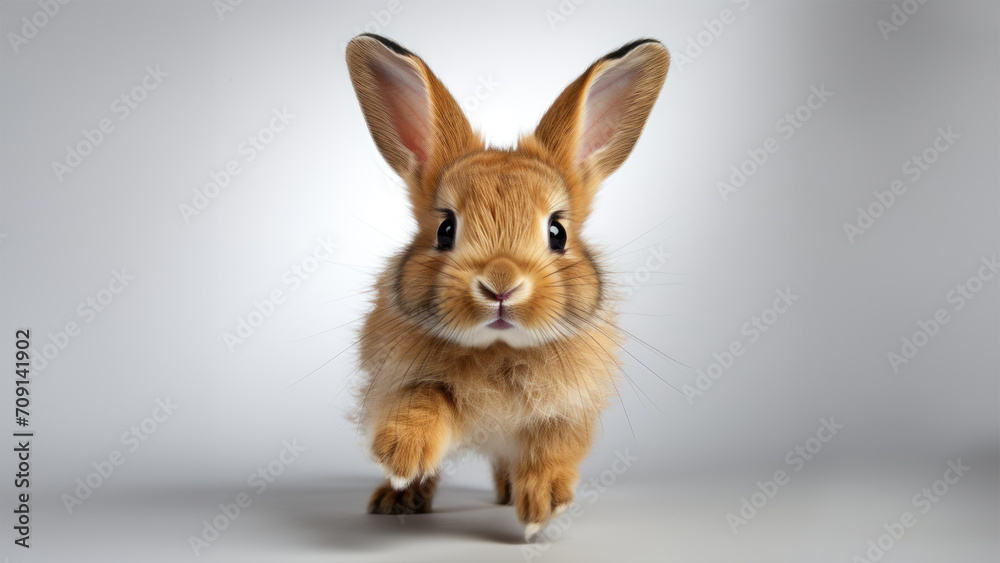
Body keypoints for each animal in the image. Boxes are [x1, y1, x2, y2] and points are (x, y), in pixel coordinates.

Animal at [345, 33, 669, 540]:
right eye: (446, 230)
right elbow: (422, 405)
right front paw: (400, 458)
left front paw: (540, 506)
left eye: (557, 232)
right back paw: (396, 499)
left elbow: (551, 450)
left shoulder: (567, 411)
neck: (498, 350)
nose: (500, 286)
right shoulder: (402, 379)